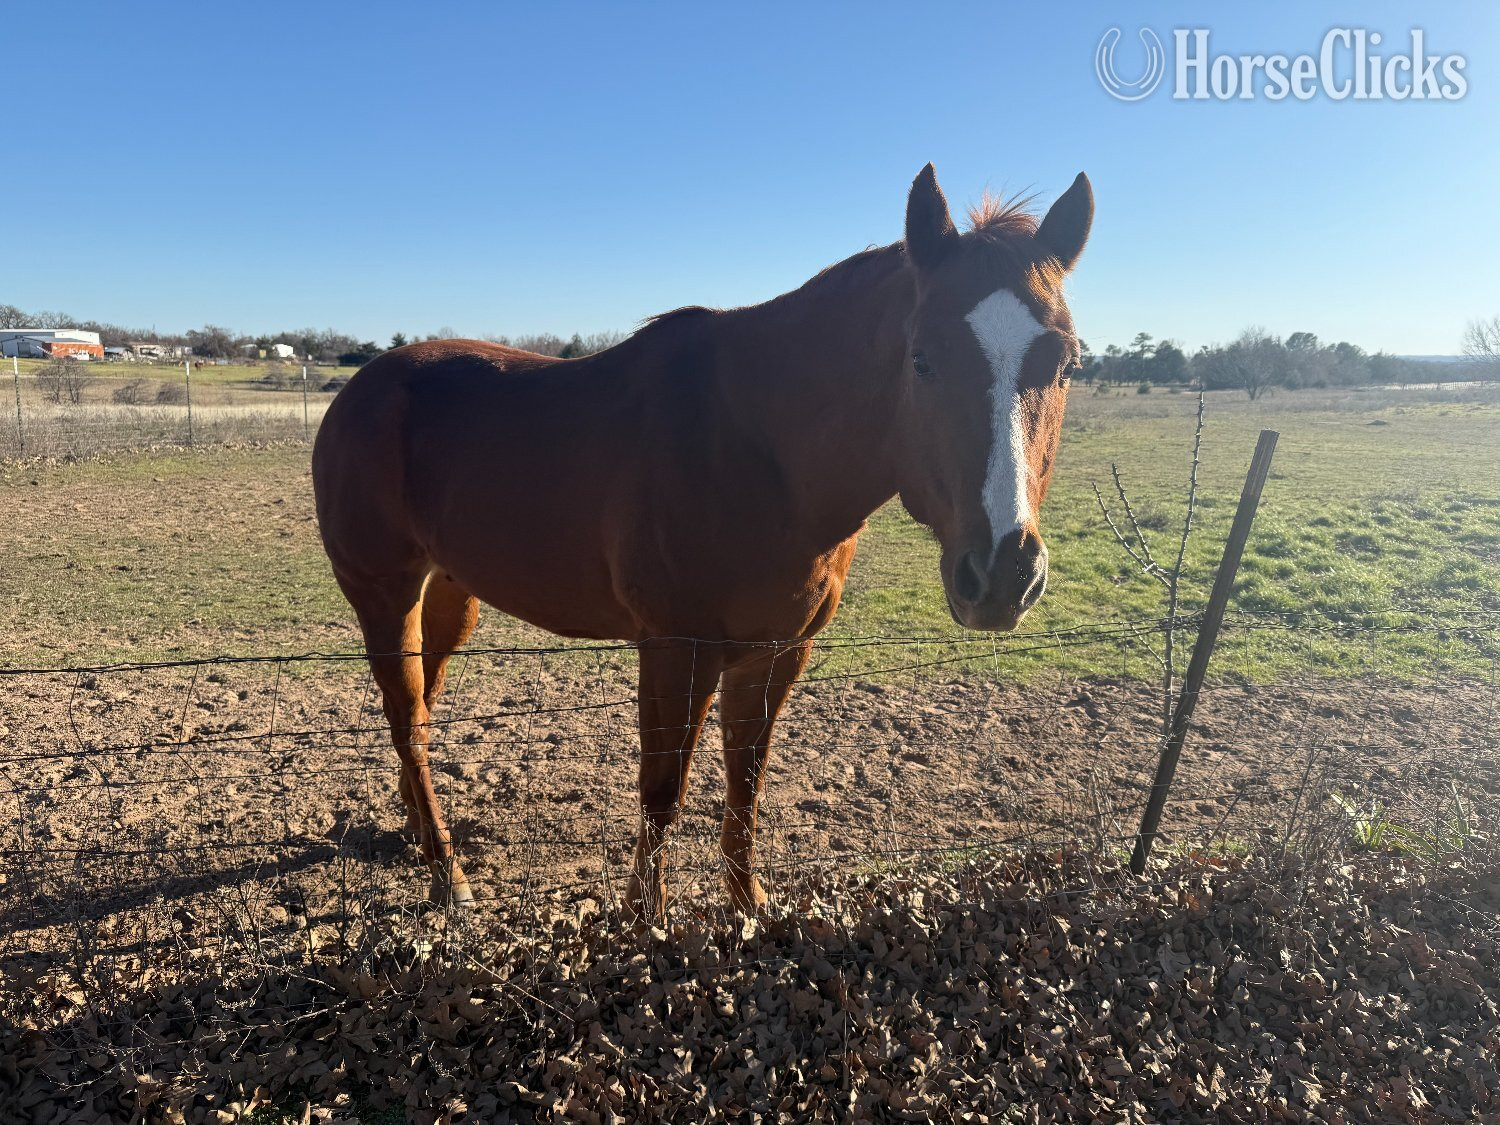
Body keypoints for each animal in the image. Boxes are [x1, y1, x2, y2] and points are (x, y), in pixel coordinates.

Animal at [311, 164, 1093, 918]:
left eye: (1066, 364)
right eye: (922, 358)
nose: (1003, 573)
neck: (758, 448)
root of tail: (361, 388)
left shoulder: (777, 652)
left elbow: (746, 782)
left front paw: (751, 908)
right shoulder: (676, 649)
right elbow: (663, 789)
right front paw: (643, 918)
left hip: (451, 594)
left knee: (420, 709)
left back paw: (418, 834)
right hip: (383, 594)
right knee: (406, 719)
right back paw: (448, 875)